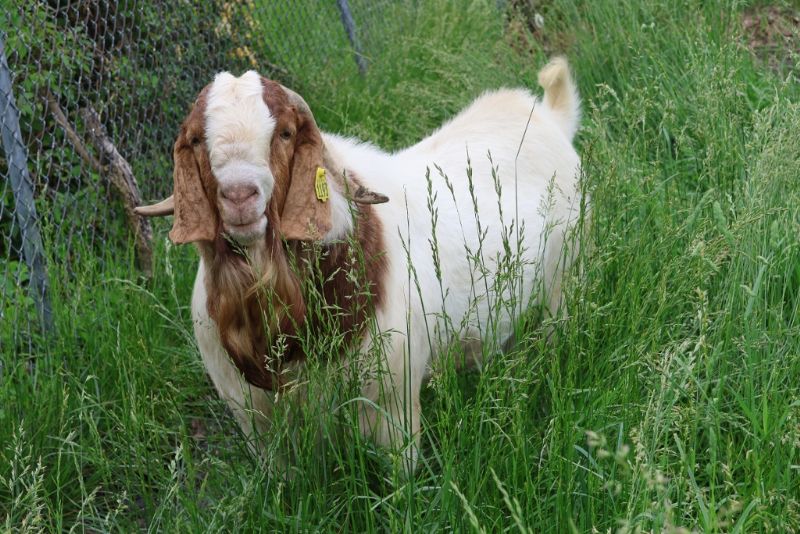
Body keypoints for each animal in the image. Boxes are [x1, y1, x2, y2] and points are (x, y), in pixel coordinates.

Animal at [136, 56, 580, 476]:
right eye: (196, 139)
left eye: (285, 132)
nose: (239, 195)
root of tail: (550, 117)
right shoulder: (256, 423)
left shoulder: (393, 403)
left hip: (564, 282)